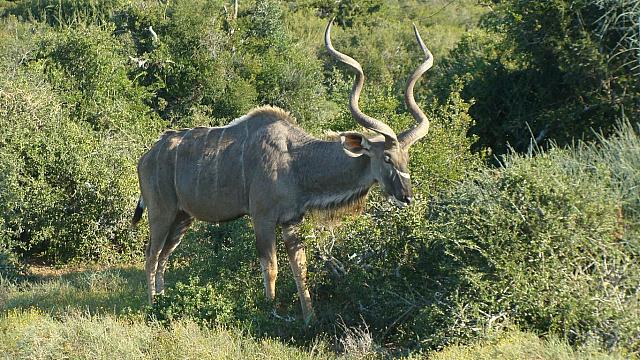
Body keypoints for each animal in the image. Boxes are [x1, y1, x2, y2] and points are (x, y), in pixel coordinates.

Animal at [133, 19, 436, 324]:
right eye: (386, 158)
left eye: (406, 158)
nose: (407, 197)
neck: (296, 160)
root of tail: (147, 156)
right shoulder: (263, 218)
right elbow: (271, 267)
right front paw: (270, 314)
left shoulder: (293, 221)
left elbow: (300, 268)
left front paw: (309, 318)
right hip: (161, 213)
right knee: (151, 255)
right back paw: (151, 305)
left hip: (183, 218)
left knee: (163, 257)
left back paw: (162, 301)